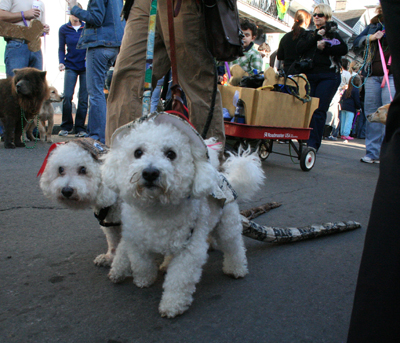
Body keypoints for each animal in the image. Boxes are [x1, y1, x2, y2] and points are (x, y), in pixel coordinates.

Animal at [40, 138, 122, 268]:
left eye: (83, 169)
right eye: (60, 169)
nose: (66, 191)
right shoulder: (110, 223)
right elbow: (113, 242)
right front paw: (109, 258)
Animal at [101, 114, 264, 318]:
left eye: (171, 154)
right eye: (137, 152)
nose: (150, 172)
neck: (157, 210)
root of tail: (225, 178)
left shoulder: (189, 250)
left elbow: (179, 279)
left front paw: (172, 305)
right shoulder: (137, 241)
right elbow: (141, 264)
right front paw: (144, 280)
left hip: (227, 225)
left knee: (234, 246)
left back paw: (236, 269)